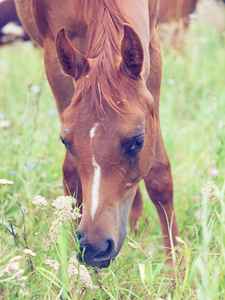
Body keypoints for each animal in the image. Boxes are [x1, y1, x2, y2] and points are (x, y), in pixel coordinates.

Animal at [14, 0, 179, 268]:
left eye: (138, 141)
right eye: (65, 141)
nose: (94, 246)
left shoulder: (152, 47)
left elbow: (159, 175)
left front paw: (176, 267)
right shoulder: (53, 55)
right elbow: (72, 175)